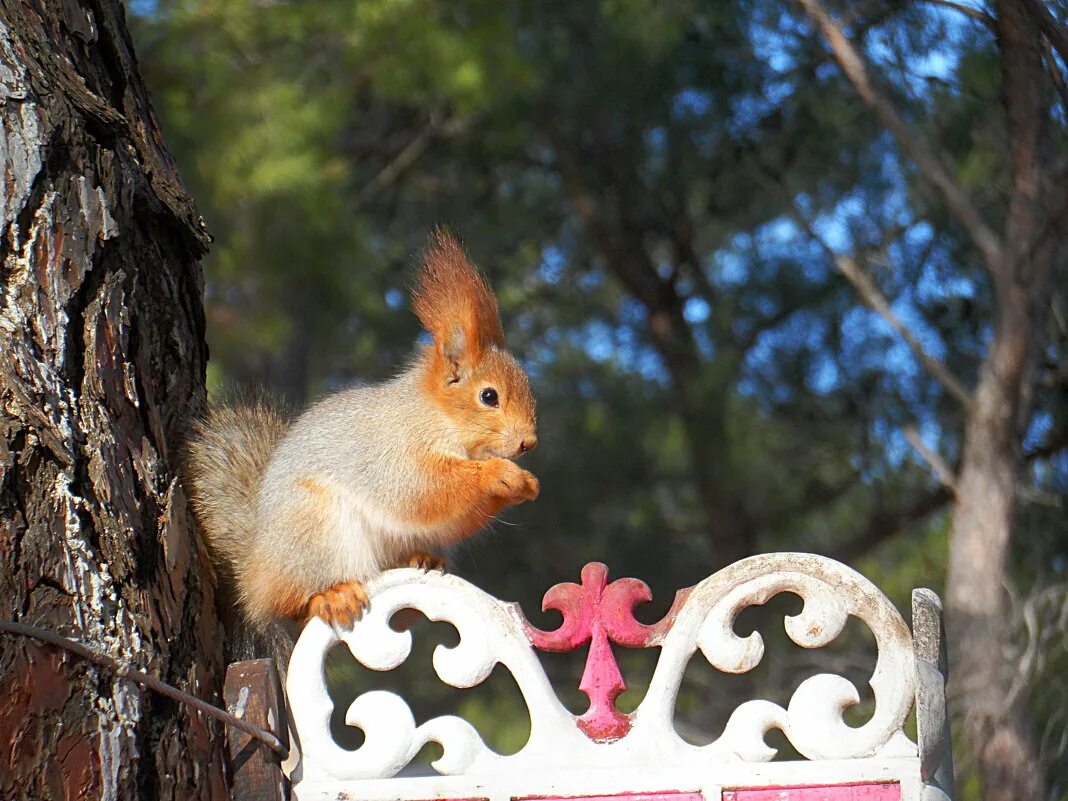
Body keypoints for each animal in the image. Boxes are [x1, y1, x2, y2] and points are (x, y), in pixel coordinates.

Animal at [185, 231, 542, 640]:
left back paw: (422, 558)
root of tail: (255, 573)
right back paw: (330, 596)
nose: (528, 442)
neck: (438, 416)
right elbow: (422, 491)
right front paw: (500, 475)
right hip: (313, 529)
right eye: (489, 396)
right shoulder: (393, 449)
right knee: (293, 603)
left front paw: (525, 483)